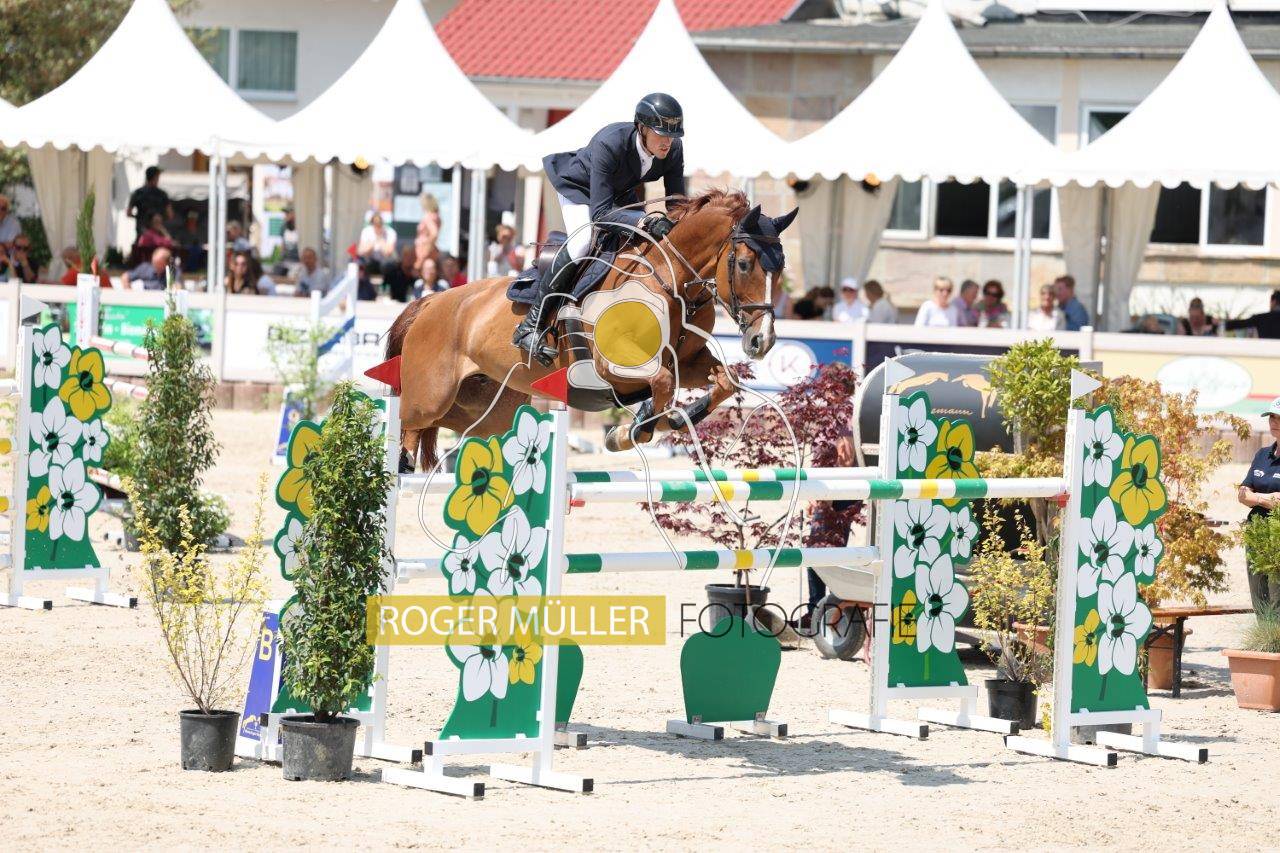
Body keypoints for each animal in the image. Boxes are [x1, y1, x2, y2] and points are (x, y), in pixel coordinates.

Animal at [383, 188, 798, 470]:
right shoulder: (609, 366)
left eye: (780, 267)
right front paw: (630, 432)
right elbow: (663, 382)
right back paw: (400, 465)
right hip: (433, 394)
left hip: (488, 406)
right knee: (411, 425)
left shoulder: (688, 360)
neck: (672, 284)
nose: (762, 341)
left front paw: (676, 419)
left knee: (448, 428)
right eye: (744, 264)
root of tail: (432, 301)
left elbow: (724, 381)